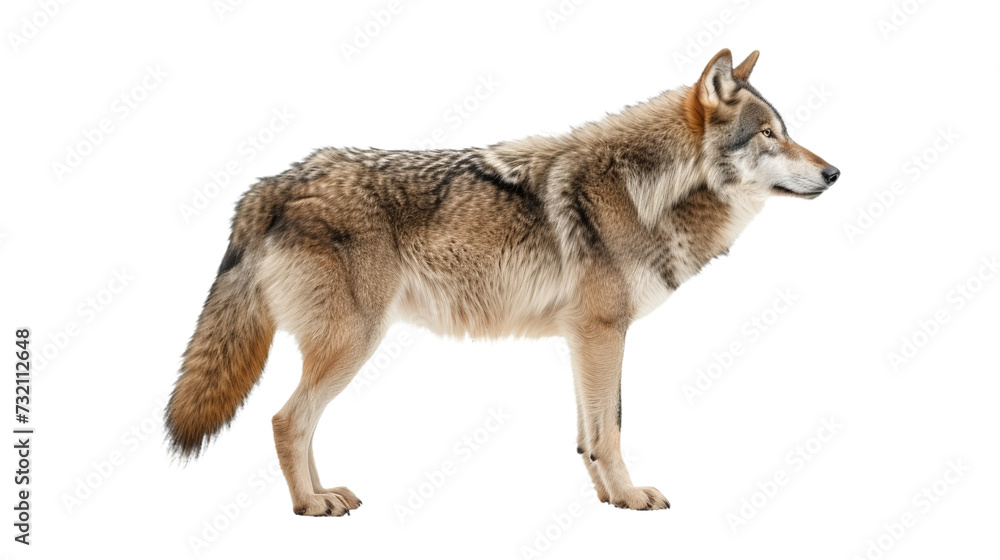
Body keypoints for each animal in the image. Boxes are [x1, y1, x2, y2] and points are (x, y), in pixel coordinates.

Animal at [165, 49, 839, 516]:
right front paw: (630, 498)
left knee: (299, 423)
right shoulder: (603, 332)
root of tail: (273, 184)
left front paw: (605, 497)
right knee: (287, 420)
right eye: (769, 134)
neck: (646, 190)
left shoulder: (584, 338)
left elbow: (588, 433)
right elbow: (612, 429)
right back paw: (309, 506)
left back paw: (324, 493)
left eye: (785, 130)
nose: (834, 172)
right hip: (353, 344)